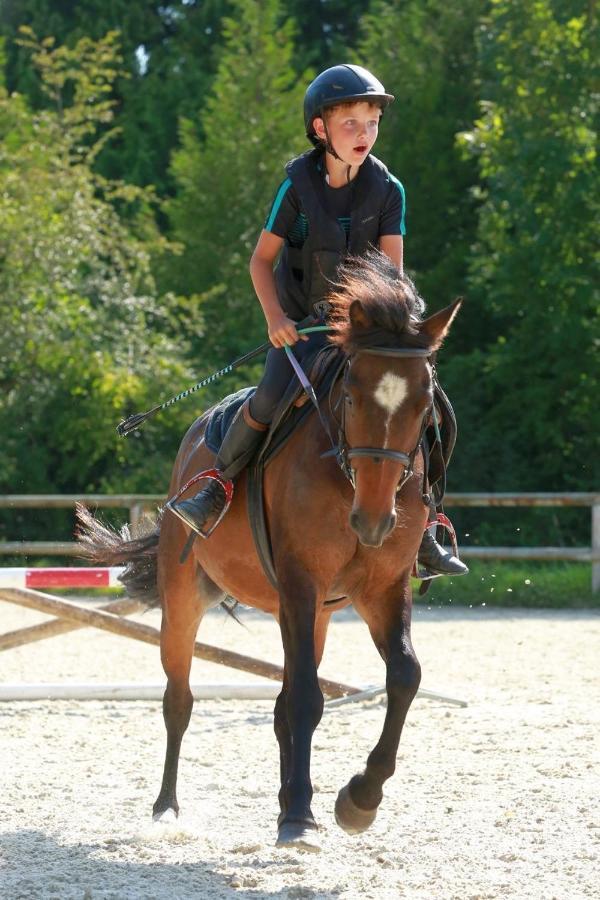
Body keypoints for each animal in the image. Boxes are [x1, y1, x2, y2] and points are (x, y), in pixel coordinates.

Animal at [78, 251, 460, 852]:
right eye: (350, 395)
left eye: (424, 405)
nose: (374, 521)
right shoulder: (301, 583)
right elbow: (305, 697)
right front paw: (303, 816)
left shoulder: (382, 586)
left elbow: (404, 676)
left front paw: (358, 800)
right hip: (186, 600)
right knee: (179, 700)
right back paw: (167, 807)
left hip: (315, 614)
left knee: (282, 705)